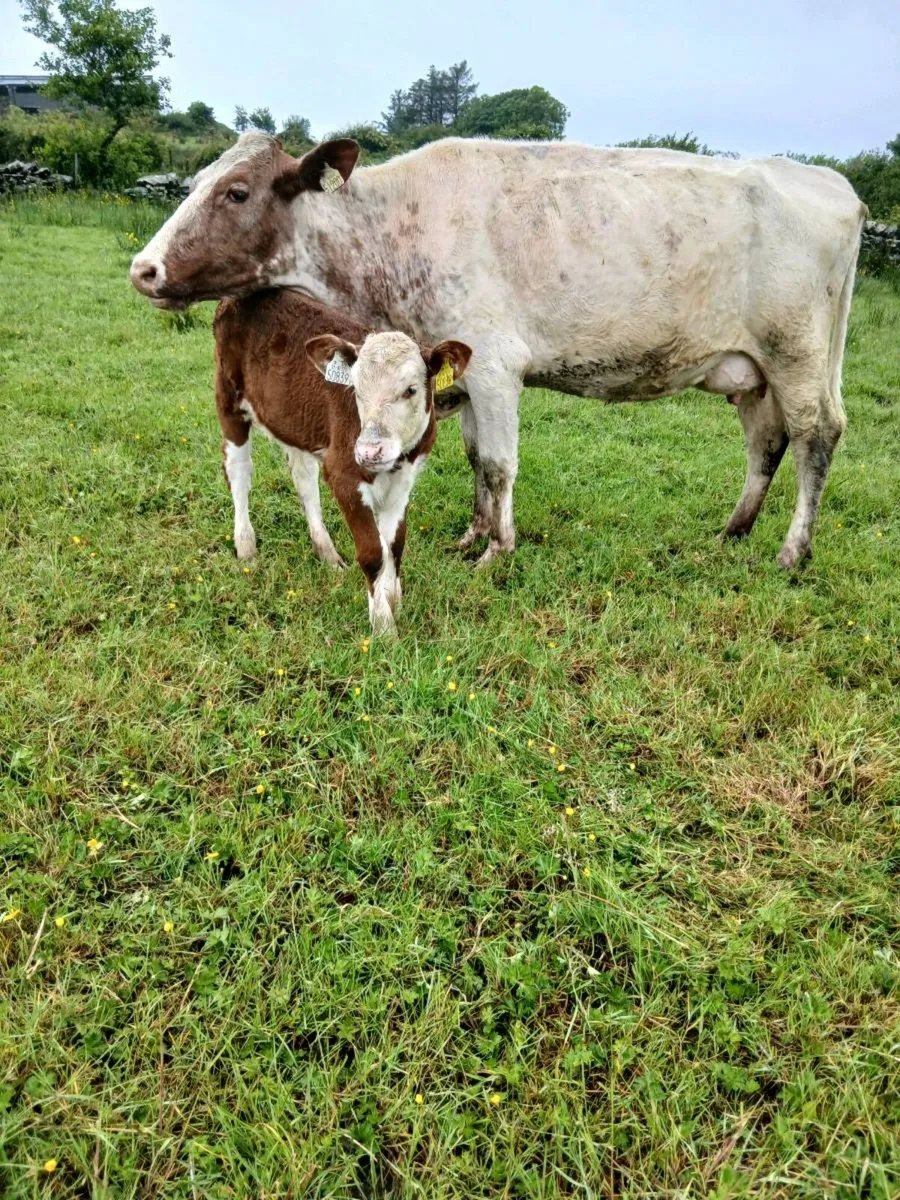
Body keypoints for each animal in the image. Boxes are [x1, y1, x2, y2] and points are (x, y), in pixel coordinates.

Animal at [131, 133, 867, 570]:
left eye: (236, 192)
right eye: (195, 181)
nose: (144, 269)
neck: (387, 239)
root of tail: (832, 183)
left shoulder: (495, 365)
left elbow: (501, 464)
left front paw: (498, 550)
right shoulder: (457, 370)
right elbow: (475, 458)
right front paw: (474, 534)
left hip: (798, 352)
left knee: (816, 435)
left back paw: (792, 550)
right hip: (753, 369)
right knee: (765, 440)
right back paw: (734, 530)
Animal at [214, 289, 470, 636]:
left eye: (411, 390)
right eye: (355, 390)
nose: (371, 451)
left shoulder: (406, 475)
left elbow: (395, 544)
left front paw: (393, 599)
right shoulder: (344, 474)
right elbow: (373, 552)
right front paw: (384, 626)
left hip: (297, 421)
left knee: (304, 478)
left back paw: (326, 551)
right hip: (228, 400)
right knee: (238, 472)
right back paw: (246, 546)